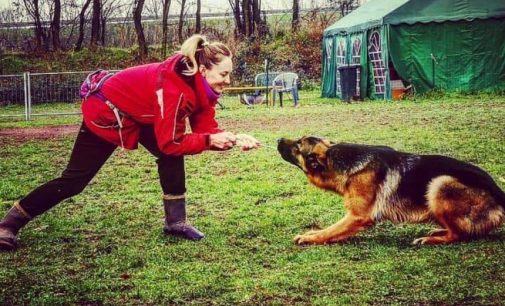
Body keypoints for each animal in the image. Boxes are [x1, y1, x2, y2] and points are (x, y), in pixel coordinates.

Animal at [278, 137, 502, 245]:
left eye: (298, 145)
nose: (278, 139)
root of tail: (500, 196)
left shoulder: (358, 217)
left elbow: (330, 230)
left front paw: (310, 238)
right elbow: (332, 230)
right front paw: (314, 233)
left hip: (440, 184)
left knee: (459, 235)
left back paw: (431, 239)